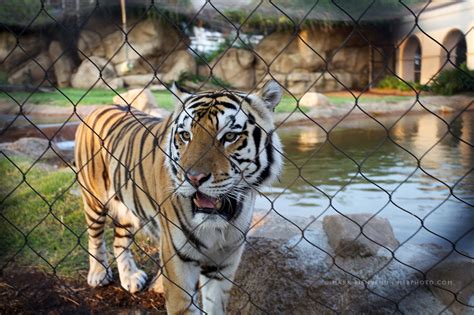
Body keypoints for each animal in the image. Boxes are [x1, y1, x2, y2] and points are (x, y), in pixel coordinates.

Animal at [74, 81, 282, 314]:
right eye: (185, 135)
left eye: (229, 136)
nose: (194, 178)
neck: (222, 220)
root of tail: (97, 108)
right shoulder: (178, 259)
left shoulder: (224, 259)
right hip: (93, 199)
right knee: (95, 237)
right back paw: (98, 274)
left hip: (127, 207)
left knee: (120, 240)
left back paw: (130, 277)